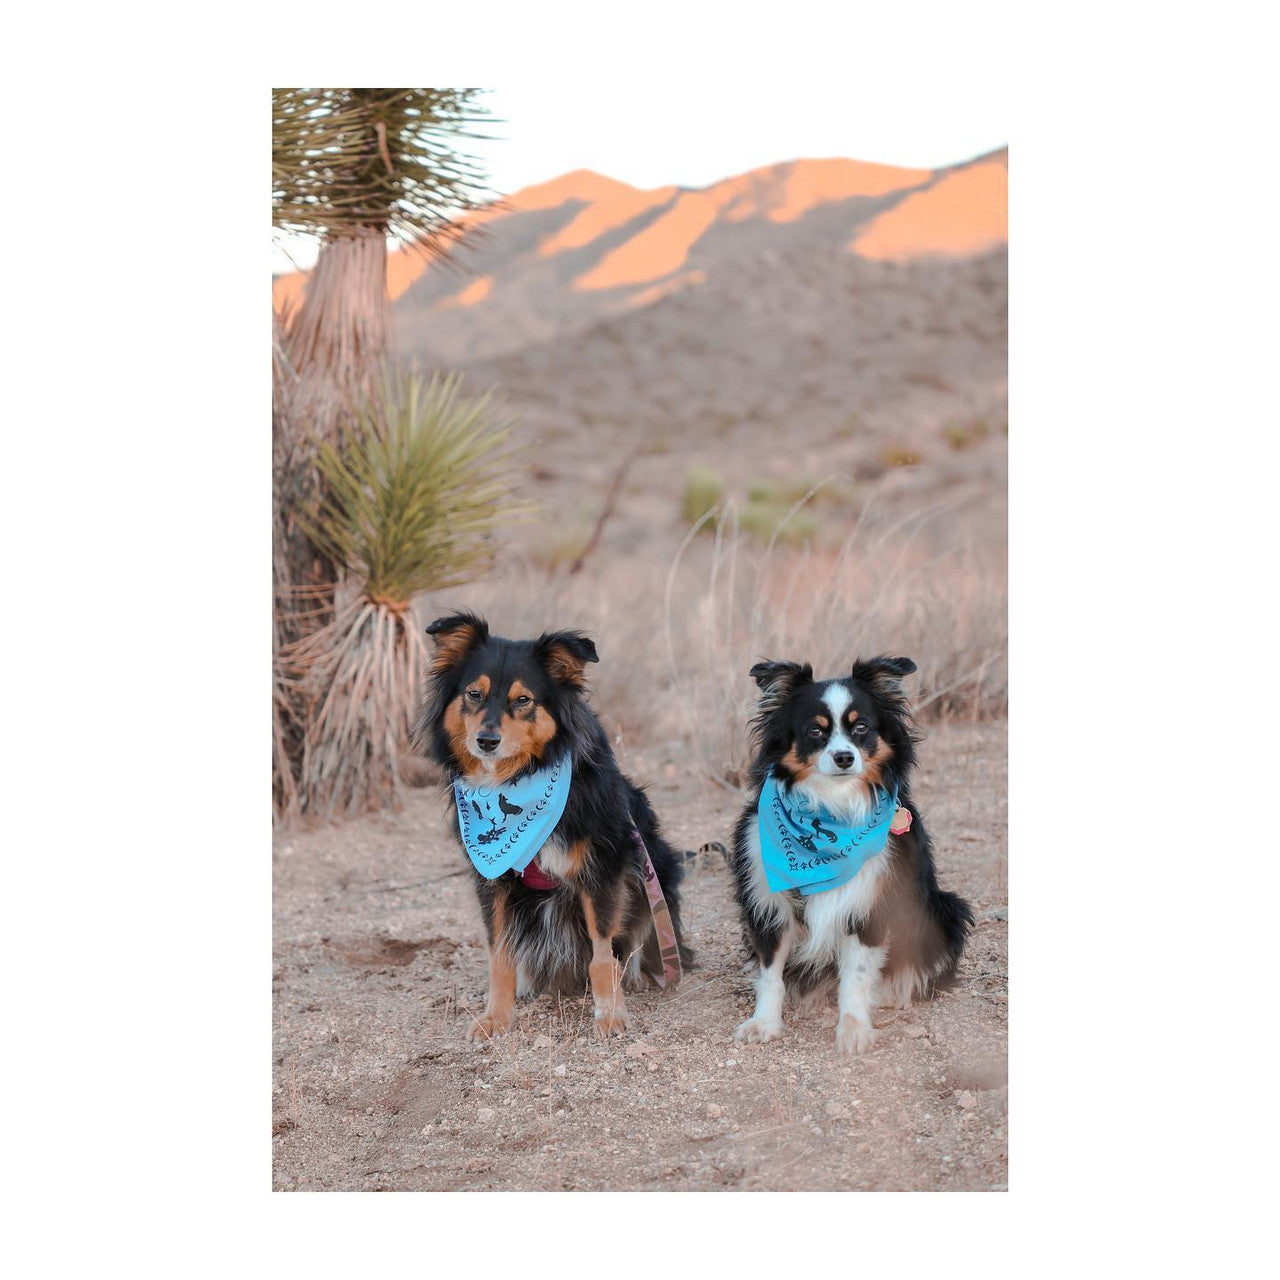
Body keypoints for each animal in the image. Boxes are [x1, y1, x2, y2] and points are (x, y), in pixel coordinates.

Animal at [414, 614, 686, 1044]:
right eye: (474, 694)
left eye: (523, 700)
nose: (486, 741)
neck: (517, 778)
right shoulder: (492, 879)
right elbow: (500, 955)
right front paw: (495, 1017)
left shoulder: (601, 868)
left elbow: (602, 953)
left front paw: (611, 1015)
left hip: (656, 869)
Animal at [732, 655, 967, 1054]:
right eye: (815, 731)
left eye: (861, 728)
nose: (844, 757)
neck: (832, 805)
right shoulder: (768, 903)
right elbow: (770, 971)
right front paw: (763, 1023)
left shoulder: (870, 901)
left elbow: (855, 976)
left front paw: (854, 1029)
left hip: (947, 908)